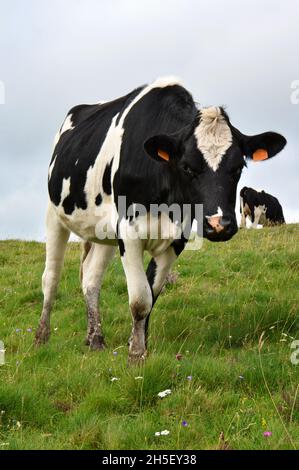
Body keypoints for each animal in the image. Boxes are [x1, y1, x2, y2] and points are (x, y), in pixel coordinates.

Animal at [35, 76, 288, 360]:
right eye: (187, 167)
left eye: (238, 168)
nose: (218, 225)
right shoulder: (128, 233)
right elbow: (139, 299)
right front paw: (135, 355)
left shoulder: (176, 239)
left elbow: (151, 295)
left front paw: (139, 345)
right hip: (54, 215)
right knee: (51, 278)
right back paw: (42, 336)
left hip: (103, 231)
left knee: (91, 279)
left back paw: (95, 338)